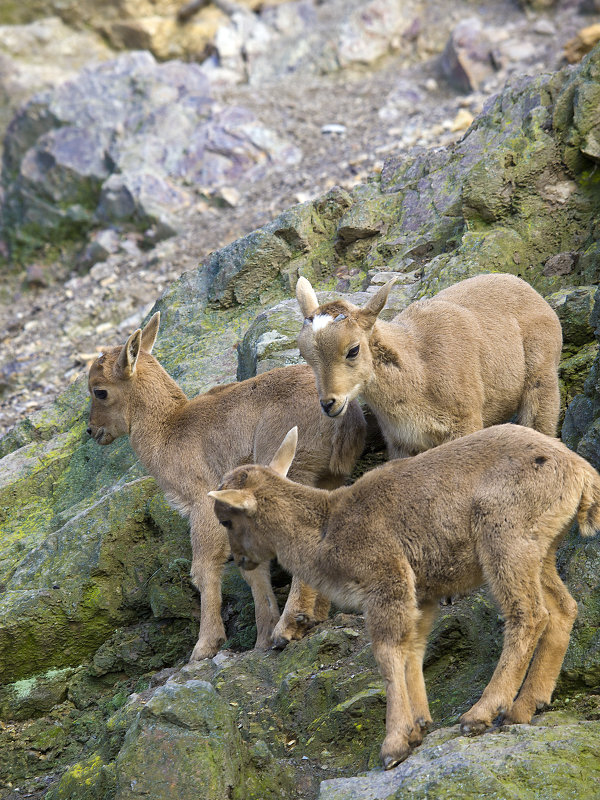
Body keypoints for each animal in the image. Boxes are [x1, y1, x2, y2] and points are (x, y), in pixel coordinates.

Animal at [86, 314, 364, 664]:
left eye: (100, 391)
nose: (93, 431)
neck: (169, 431)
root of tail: (343, 414)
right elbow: (253, 567)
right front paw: (260, 637)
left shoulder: (202, 502)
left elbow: (204, 568)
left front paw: (206, 645)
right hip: (326, 477)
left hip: (293, 466)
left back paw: (289, 626)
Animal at [210, 424, 600, 768]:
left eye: (227, 520)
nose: (240, 561)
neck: (328, 529)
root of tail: (581, 473)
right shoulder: (422, 592)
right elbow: (413, 649)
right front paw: (419, 726)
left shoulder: (386, 578)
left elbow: (387, 652)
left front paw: (394, 744)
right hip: (542, 548)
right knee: (563, 608)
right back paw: (525, 707)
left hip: (505, 536)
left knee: (529, 615)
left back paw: (481, 713)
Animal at [298, 272, 564, 456]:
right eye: (306, 356)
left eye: (353, 350)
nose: (329, 403)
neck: (420, 372)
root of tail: (527, 288)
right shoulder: (402, 444)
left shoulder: (465, 423)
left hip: (541, 379)